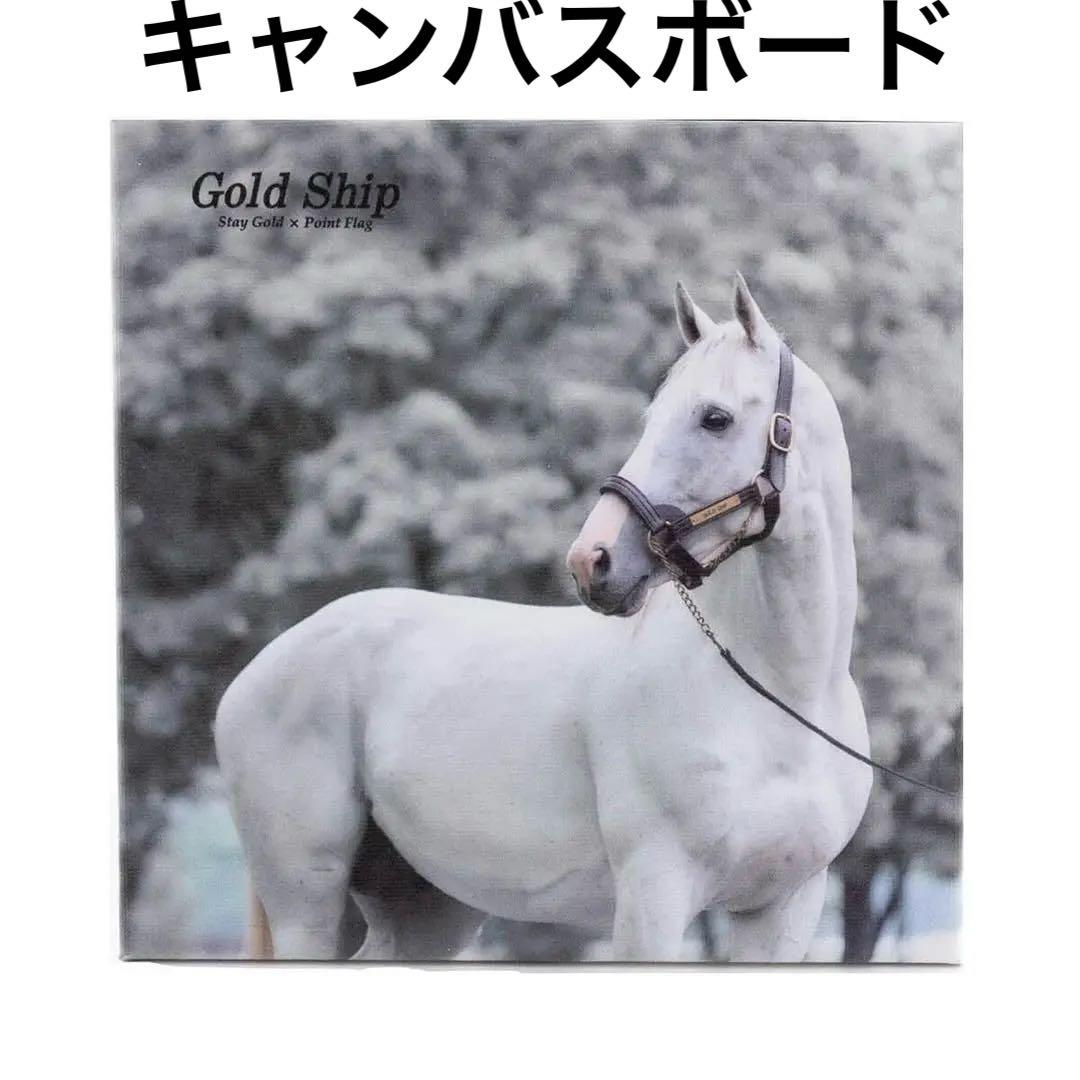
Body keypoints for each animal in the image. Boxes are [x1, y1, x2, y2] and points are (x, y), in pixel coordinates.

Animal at [214, 274, 872, 962]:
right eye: (652, 417)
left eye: (714, 418)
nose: (592, 560)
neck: (776, 697)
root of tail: (263, 667)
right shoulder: (655, 894)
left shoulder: (783, 908)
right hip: (308, 908)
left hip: (425, 909)